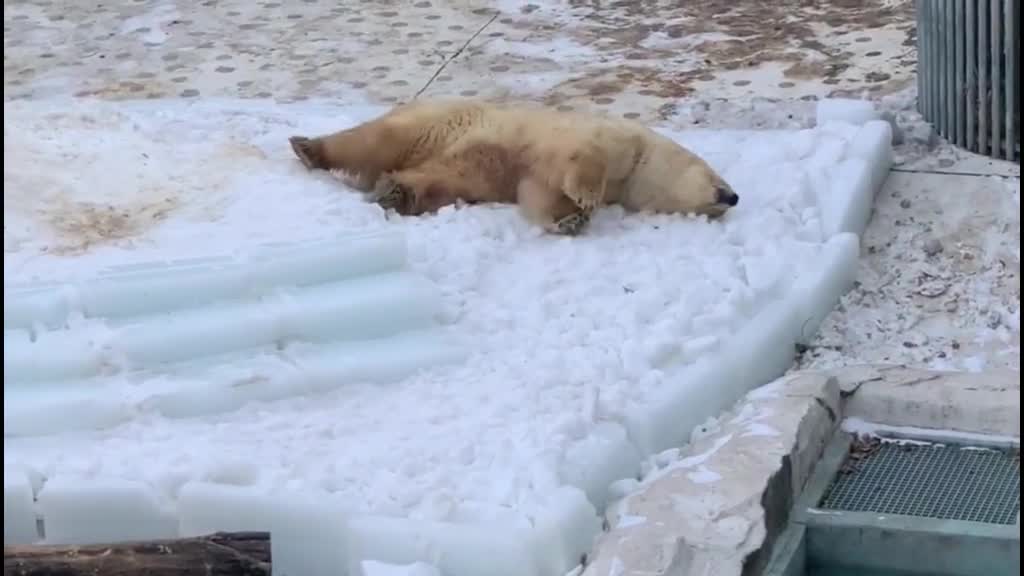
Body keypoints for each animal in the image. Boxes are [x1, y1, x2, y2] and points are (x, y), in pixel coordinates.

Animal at [288, 97, 737, 233]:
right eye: (716, 175)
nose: (733, 197)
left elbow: (536, 192)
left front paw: (568, 220)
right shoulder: (604, 138)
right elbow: (581, 159)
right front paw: (584, 201)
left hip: (449, 167)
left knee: (437, 181)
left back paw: (396, 193)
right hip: (436, 123)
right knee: (374, 140)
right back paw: (308, 148)